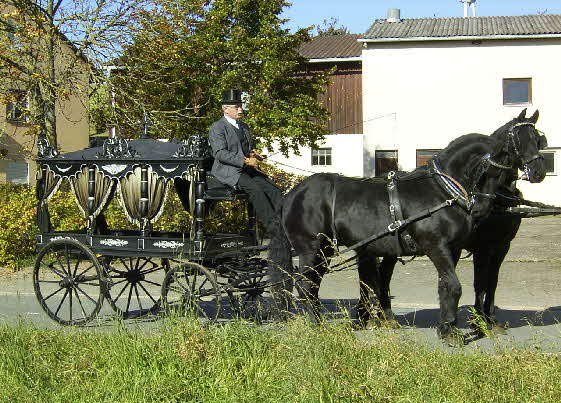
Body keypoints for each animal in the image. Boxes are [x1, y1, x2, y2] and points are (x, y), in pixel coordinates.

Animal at [274, 112, 548, 342]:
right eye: (516, 144)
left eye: (539, 139)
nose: (538, 171)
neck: (442, 191)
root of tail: (293, 193)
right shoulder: (438, 246)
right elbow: (457, 285)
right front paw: (454, 331)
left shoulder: (456, 249)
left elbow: (448, 285)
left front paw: (447, 326)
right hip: (311, 248)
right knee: (306, 285)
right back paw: (318, 325)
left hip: (329, 250)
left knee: (319, 284)